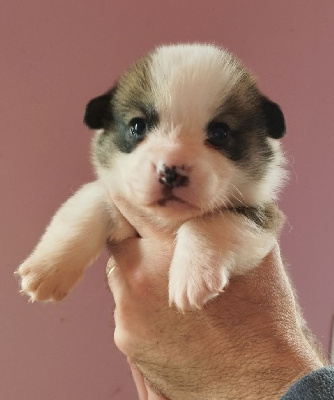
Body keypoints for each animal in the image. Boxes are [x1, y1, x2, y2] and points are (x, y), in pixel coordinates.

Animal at [16, 44, 288, 312]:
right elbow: (90, 202)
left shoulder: (262, 214)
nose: (171, 173)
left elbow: (209, 221)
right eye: (138, 126)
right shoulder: (116, 196)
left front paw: (193, 275)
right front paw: (49, 268)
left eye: (220, 132)